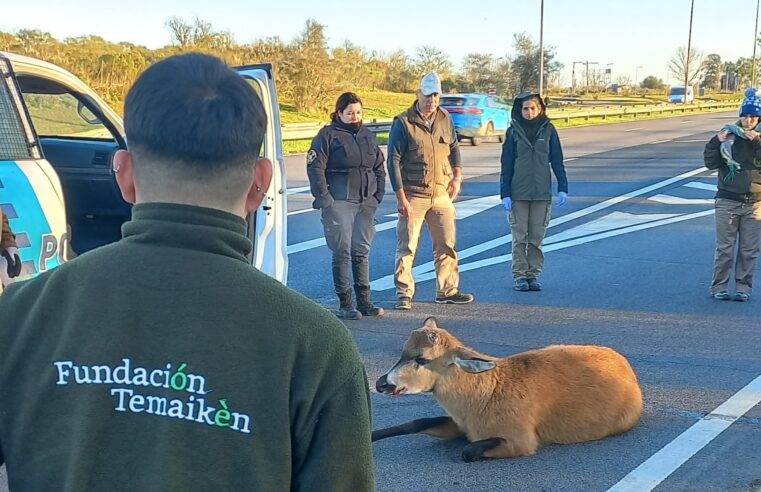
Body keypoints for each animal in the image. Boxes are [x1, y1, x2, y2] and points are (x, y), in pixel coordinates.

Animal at [373, 317, 643, 462]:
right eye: (402, 353)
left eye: (422, 359)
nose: (380, 383)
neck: (484, 396)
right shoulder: (461, 425)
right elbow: (416, 422)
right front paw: (372, 435)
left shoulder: (522, 440)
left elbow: (468, 451)